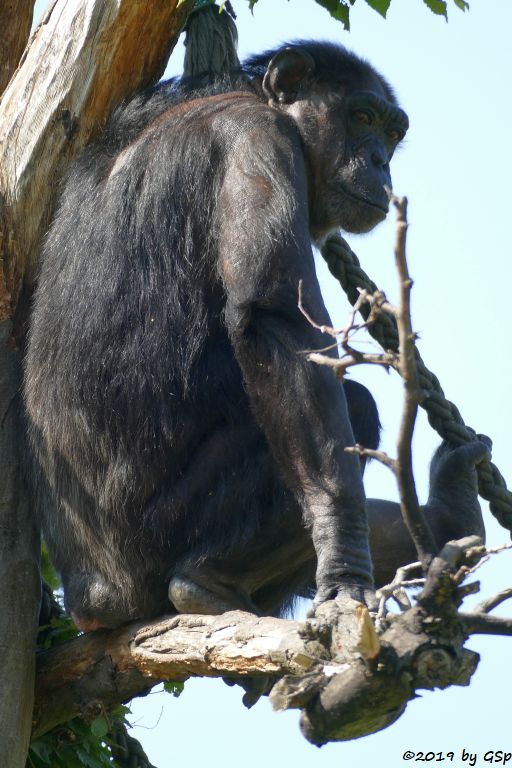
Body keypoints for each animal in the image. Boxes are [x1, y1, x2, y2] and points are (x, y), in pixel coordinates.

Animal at [25, 40, 488, 632]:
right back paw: (206, 580)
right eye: (361, 117)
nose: (380, 160)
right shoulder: (259, 142)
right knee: (352, 405)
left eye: (391, 132)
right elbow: (272, 324)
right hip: (164, 531)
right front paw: (344, 558)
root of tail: (96, 600)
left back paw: (449, 516)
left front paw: (446, 515)